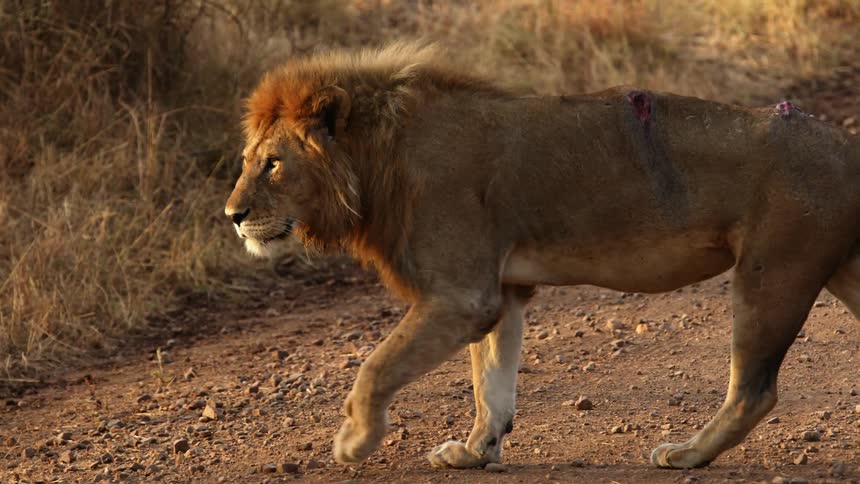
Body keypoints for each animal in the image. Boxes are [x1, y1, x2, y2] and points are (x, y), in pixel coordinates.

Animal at [225, 43, 860, 470]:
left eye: (273, 164)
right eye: (248, 160)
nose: (232, 214)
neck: (382, 155)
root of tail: (846, 142)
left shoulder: (461, 295)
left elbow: (376, 366)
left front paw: (354, 441)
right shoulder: (501, 292)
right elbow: (490, 382)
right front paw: (475, 451)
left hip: (771, 273)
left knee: (754, 391)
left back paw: (687, 454)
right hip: (839, 272)